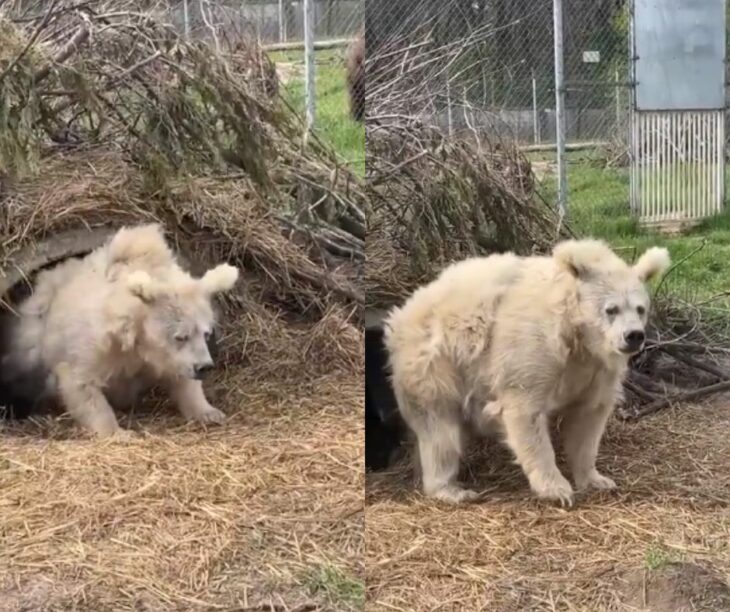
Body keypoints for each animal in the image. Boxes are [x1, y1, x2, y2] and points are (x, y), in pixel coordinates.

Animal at [0, 222, 237, 438]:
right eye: (180, 336)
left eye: (206, 333)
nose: (204, 367)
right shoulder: (95, 345)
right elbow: (82, 382)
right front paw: (118, 432)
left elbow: (183, 380)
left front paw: (209, 412)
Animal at [384, 239, 668, 506]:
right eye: (611, 309)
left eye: (640, 308)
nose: (634, 336)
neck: (576, 335)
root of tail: (401, 315)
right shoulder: (533, 346)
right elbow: (525, 410)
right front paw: (557, 490)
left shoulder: (595, 369)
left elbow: (588, 419)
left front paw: (597, 479)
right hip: (436, 364)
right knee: (440, 430)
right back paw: (451, 489)